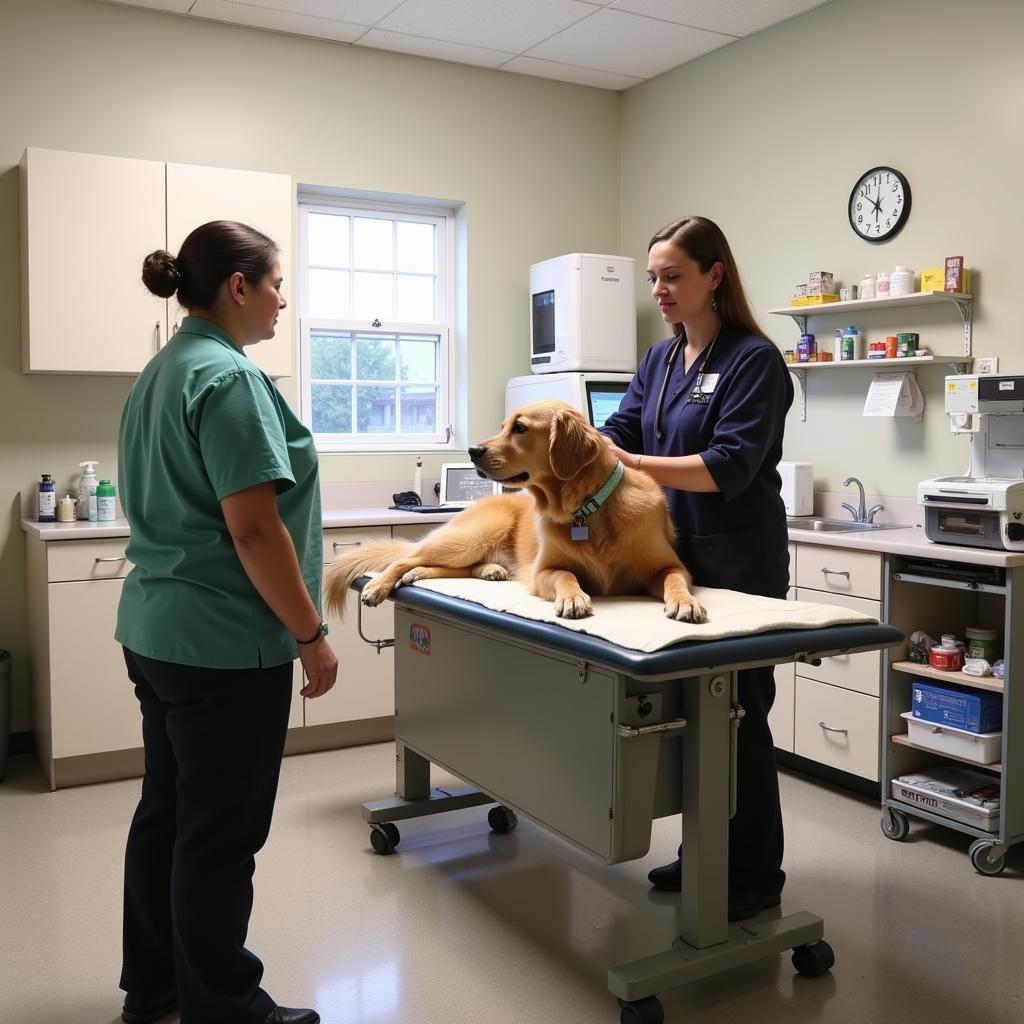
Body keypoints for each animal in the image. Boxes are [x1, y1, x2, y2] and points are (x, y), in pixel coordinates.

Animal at [323, 399, 708, 622]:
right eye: (503, 426)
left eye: (520, 428)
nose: (473, 450)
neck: (587, 509)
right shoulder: (543, 572)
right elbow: (566, 575)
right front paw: (573, 598)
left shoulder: (671, 566)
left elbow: (674, 578)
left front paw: (686, 603)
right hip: (472, 535)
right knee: (405, 558)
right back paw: (381, 585)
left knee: (441, 565)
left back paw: (473, 571)